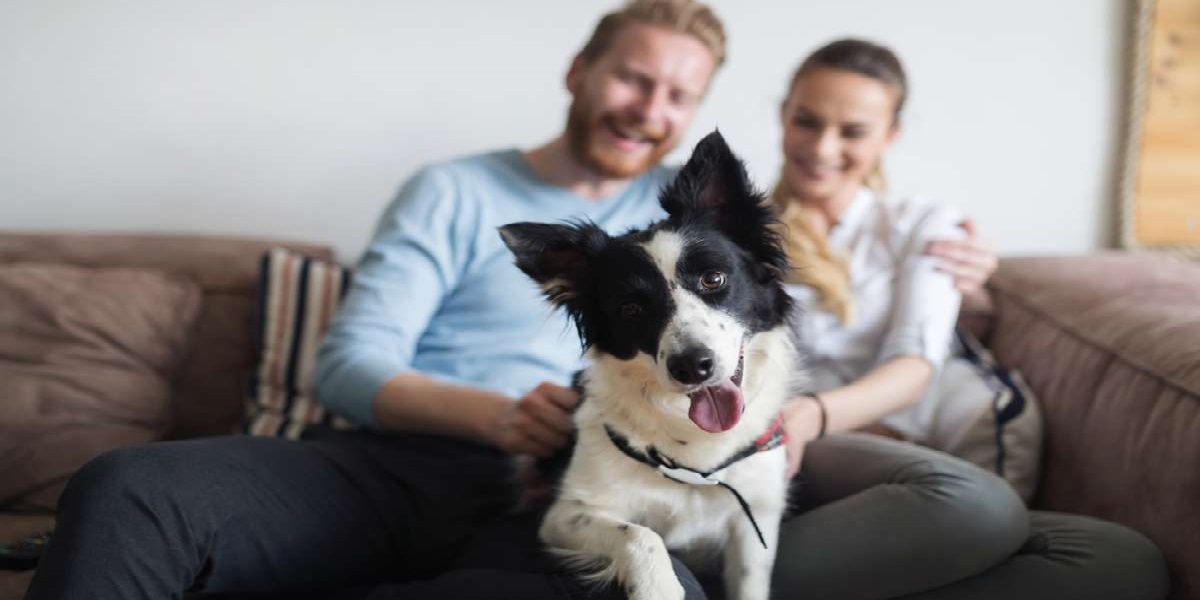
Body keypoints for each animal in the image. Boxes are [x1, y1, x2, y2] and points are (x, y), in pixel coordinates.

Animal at [499, 132, 796, 600]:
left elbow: (750, 585)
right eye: (631, 308)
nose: (692, 366)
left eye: (713, 279)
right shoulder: (566, 514)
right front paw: (659, 587)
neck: (695, 454)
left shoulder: (755, 522)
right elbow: (642, 535)